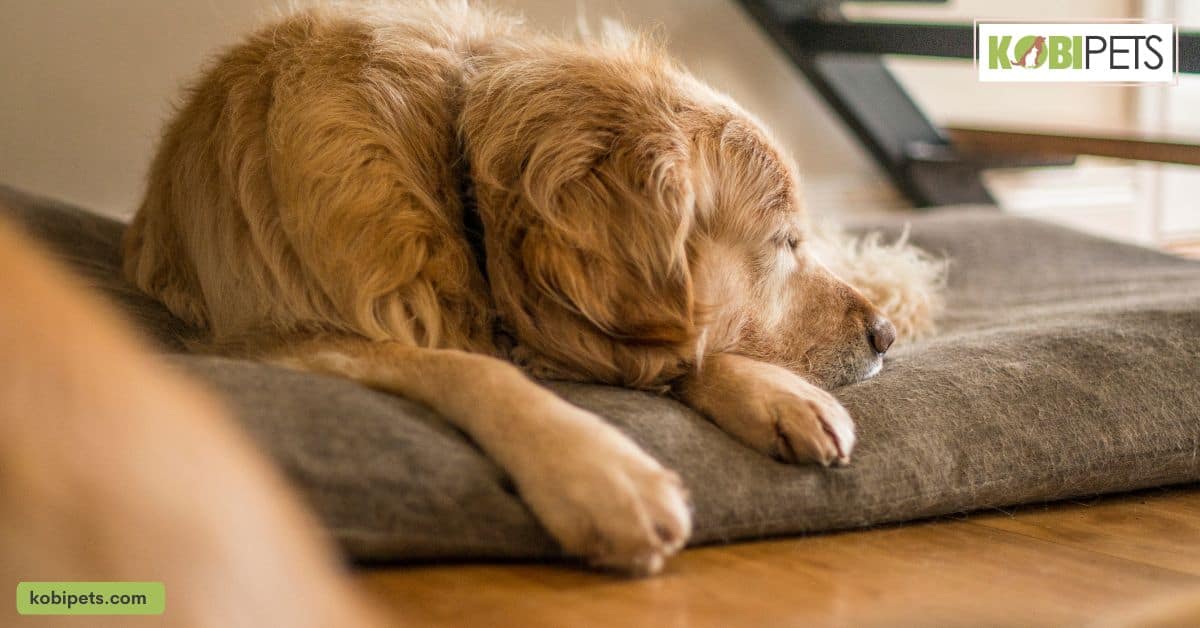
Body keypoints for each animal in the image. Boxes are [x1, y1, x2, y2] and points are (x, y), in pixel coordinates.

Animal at [124, 0, 945, 573]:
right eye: (781, 243)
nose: (882, 336)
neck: (454, 189)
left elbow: (683, 349)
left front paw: (776, 395)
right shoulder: (279, 333)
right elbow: (475, 371)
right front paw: (599, 472)